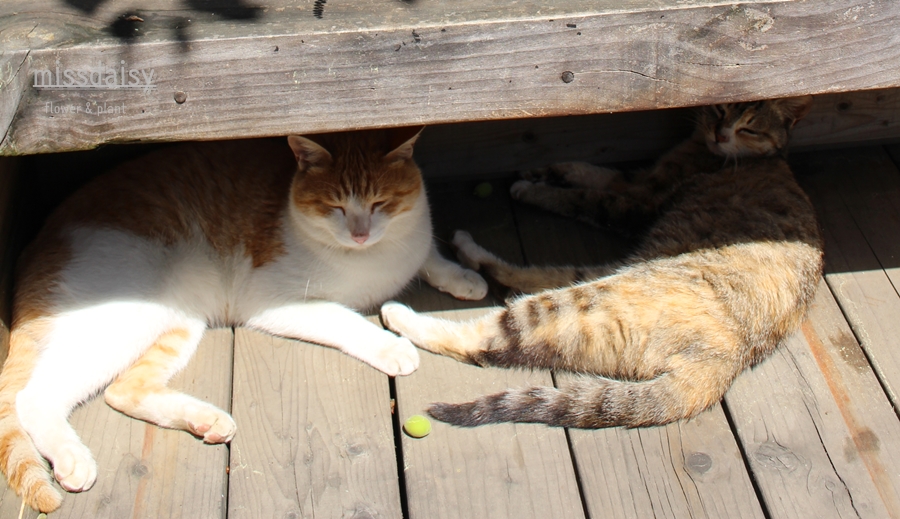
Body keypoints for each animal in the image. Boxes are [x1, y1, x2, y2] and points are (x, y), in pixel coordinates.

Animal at [0, 127, 486, 512]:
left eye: (381, 202)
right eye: (334, 207)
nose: (360, 233)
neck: (373, 259)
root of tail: (36, 250)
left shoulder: (412, 242)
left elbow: (429, 255)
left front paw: (463, 277)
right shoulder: (272, 300)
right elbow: (346, 319)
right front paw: (391, 345)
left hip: (180, 318)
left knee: (122, 391)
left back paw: (206, 421)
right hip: (123, 318)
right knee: (34, 397)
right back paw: (73, 459)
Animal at [380, 97, 824, 430]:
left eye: (751, 128)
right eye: (721, 109)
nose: (721, 133)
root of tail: (728, 361)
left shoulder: (638, 201)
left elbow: (584, 196)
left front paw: (534, 188)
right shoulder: (636, 181)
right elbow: (594, 171)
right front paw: (549, 168)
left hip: (596, 294)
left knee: (489, 341)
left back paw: (403, 313)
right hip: (602, 284)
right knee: (529, 281)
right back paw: (471, 252)